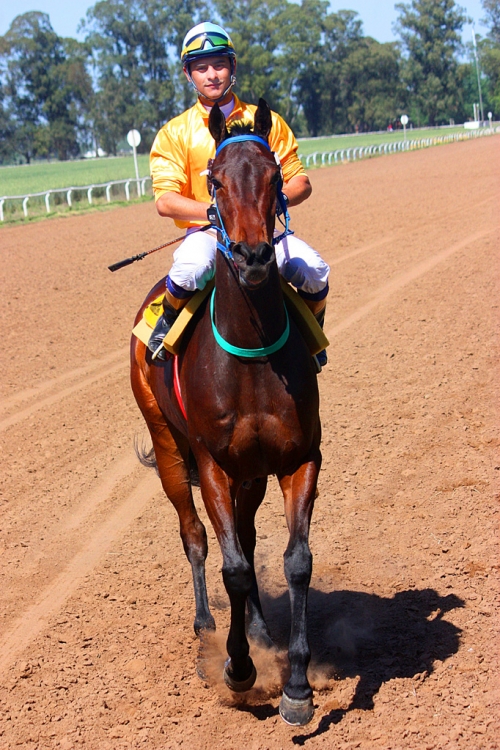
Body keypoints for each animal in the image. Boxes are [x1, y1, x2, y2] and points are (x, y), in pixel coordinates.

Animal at [131, 100, 322, 728]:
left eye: (274, 176)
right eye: (213, 181)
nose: (255, 255)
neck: (252, 352)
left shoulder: (298, 458)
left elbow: (295, 561)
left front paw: (296, 685)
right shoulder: (211, 462)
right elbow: (232, 566)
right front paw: (239, 670)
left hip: (252, 471)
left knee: (246, 533)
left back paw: (258, 628)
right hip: (169, 447)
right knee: (195, 536)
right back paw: (207, 627)